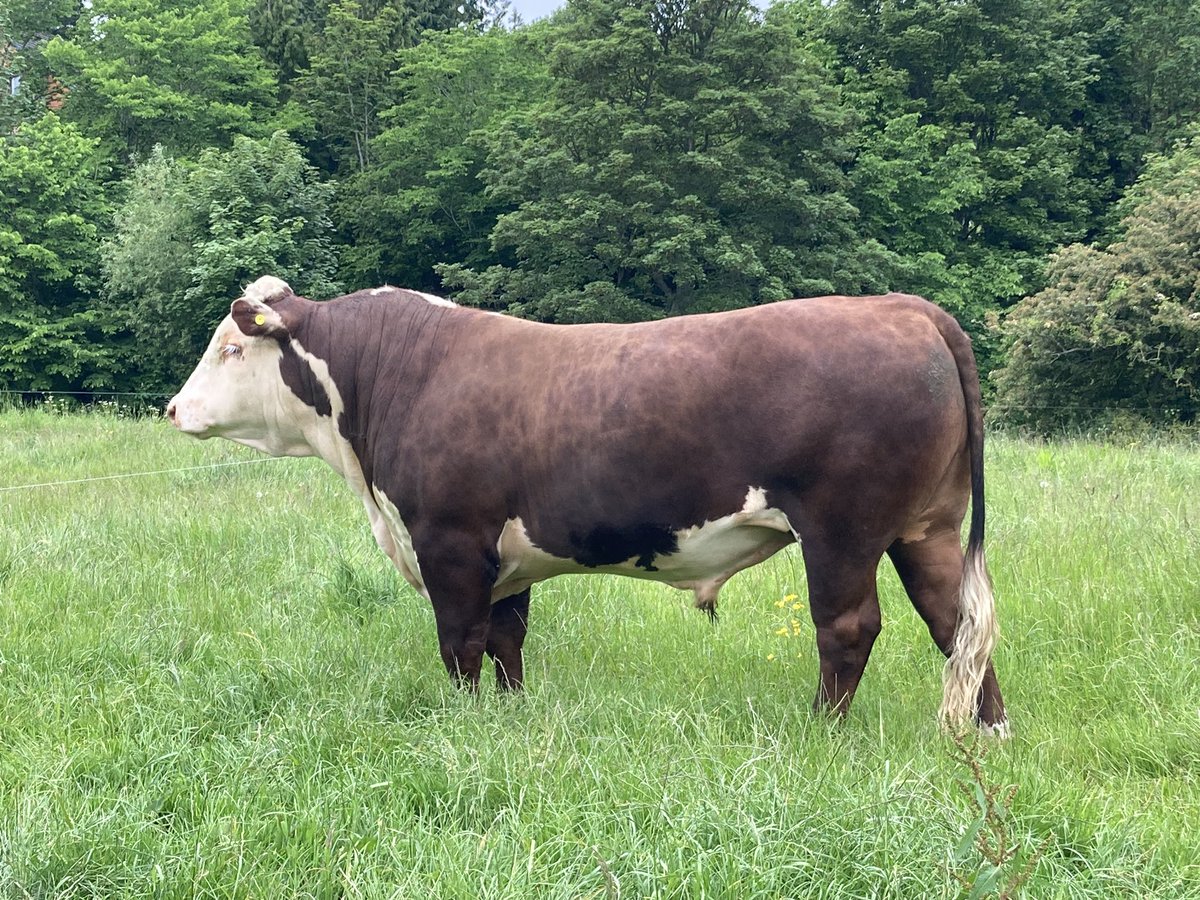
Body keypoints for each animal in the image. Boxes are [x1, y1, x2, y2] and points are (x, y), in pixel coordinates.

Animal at [167, 276, 1007, 734]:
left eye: (231, 348)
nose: (174, 409)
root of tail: (901, 307)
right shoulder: (505, 557)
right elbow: (506, 639)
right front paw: (509, 716)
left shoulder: (449, 541)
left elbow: (460, 643)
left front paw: (465, 720)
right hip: (926, 527)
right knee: (958, 623)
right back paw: (986, 732)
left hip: (843, 529)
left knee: (849, 627)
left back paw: (821, 730)